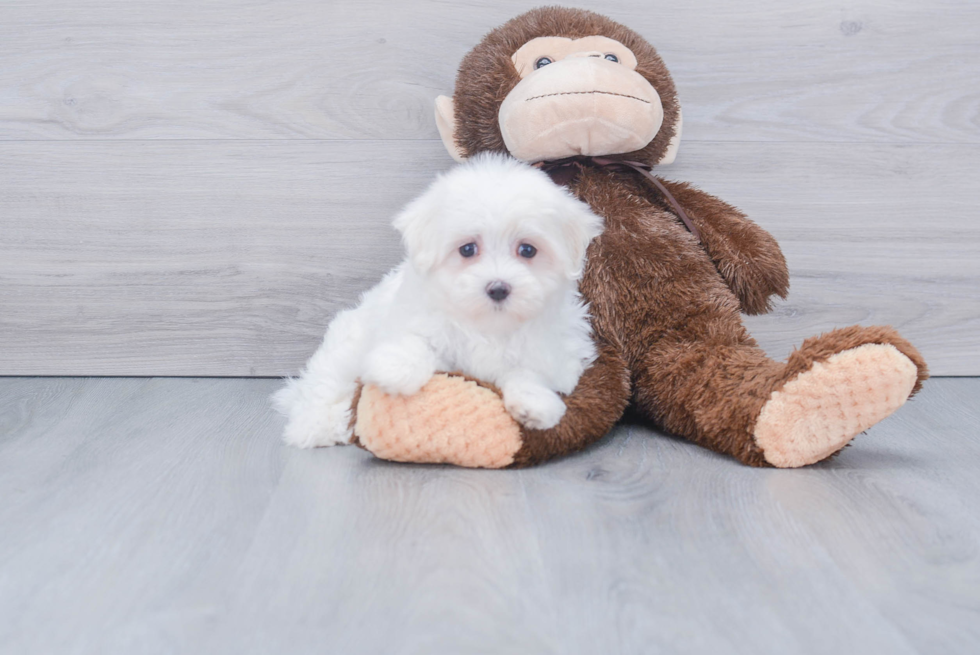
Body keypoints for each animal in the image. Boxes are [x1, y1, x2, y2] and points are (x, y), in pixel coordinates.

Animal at [274, 154, 604, 452]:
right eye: (467, 249)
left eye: (527, 250)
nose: (498, 288)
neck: (488, 325)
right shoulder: (415, 321)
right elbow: (418, 343)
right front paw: (396, 369)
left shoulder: (557, 352)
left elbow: (530, 371)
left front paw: (534, 404)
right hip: (345, 348)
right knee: (325, 385)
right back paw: (317, 426)